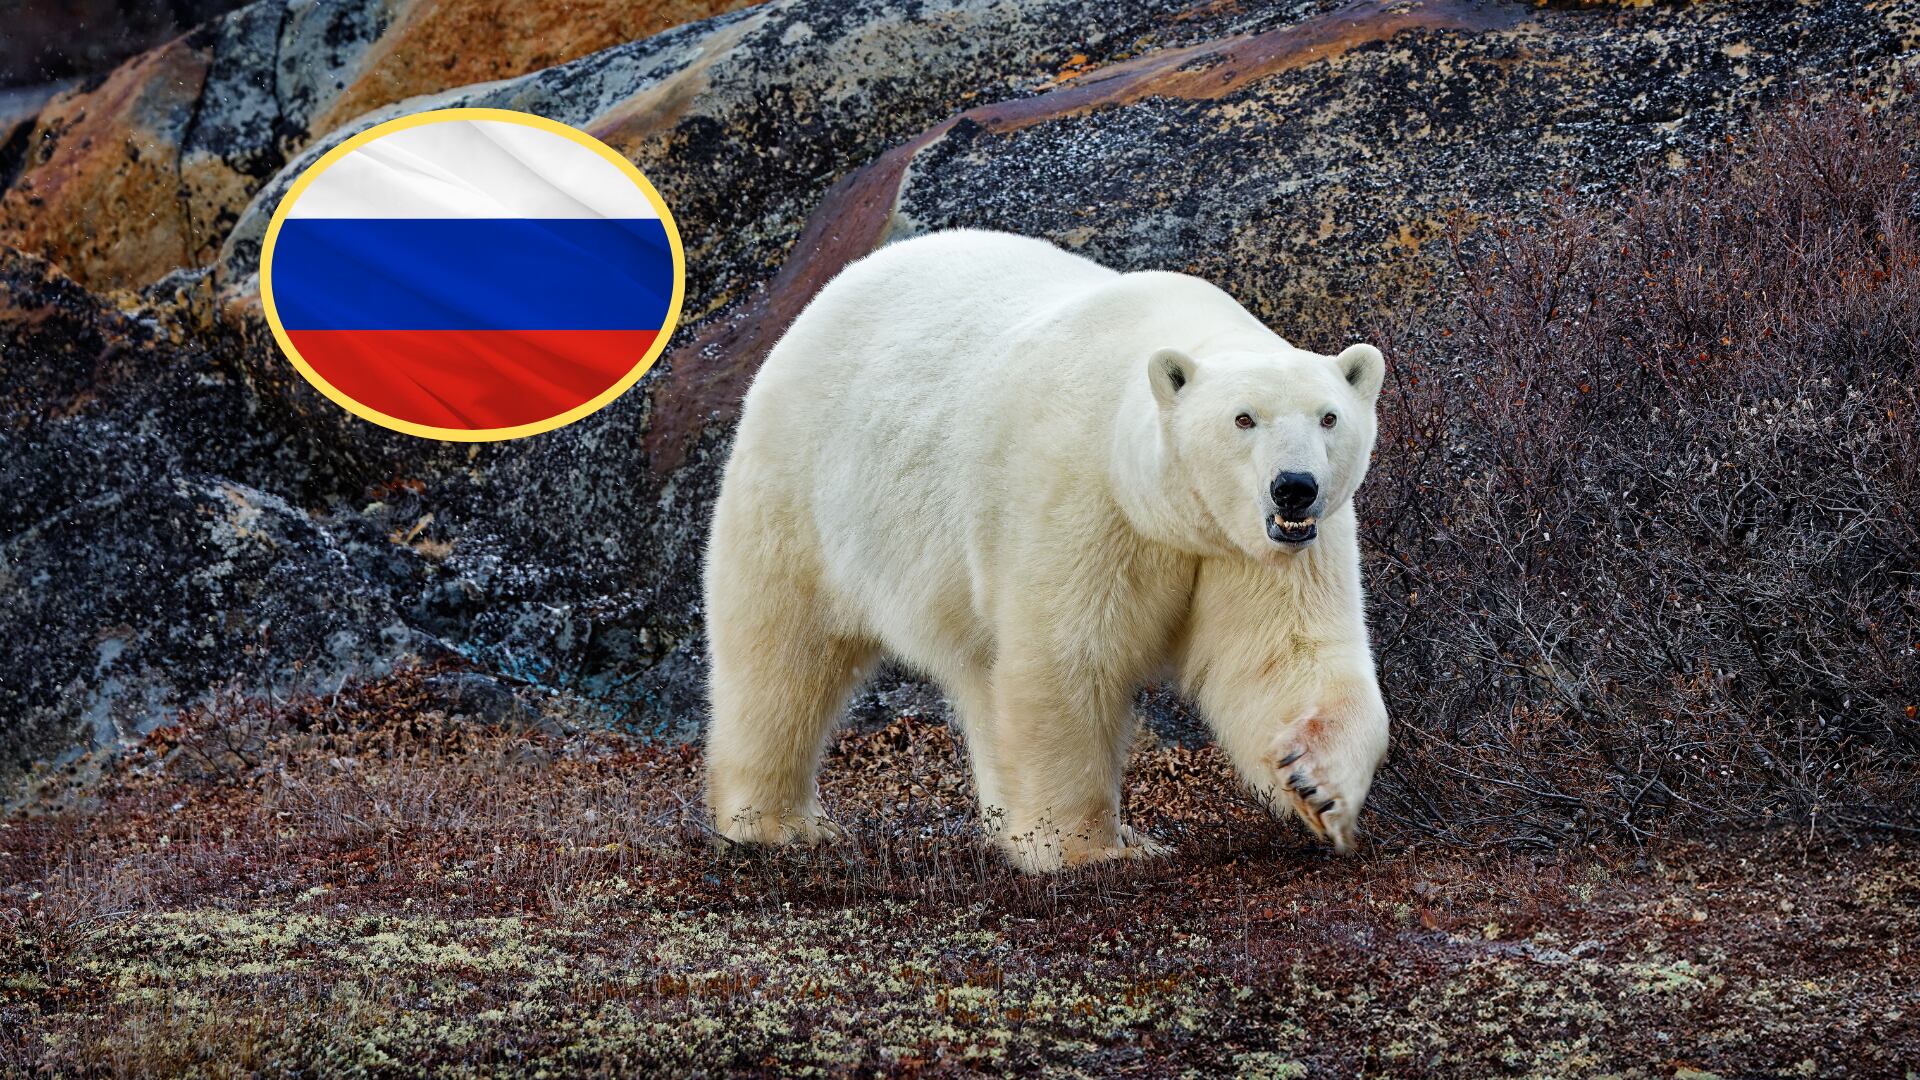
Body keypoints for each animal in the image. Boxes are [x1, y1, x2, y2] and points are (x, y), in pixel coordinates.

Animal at [702, 229, 1390, 873]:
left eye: (1328, 417)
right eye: (1243, 418)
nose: (1295, 486)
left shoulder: (1258, 546)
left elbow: (1287, 653)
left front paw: (1317, 783)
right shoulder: (1084, 494)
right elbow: (1069, 658)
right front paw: (1092, 850)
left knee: (977, 671)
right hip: (804, 483)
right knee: (781, 649)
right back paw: (777, 823)